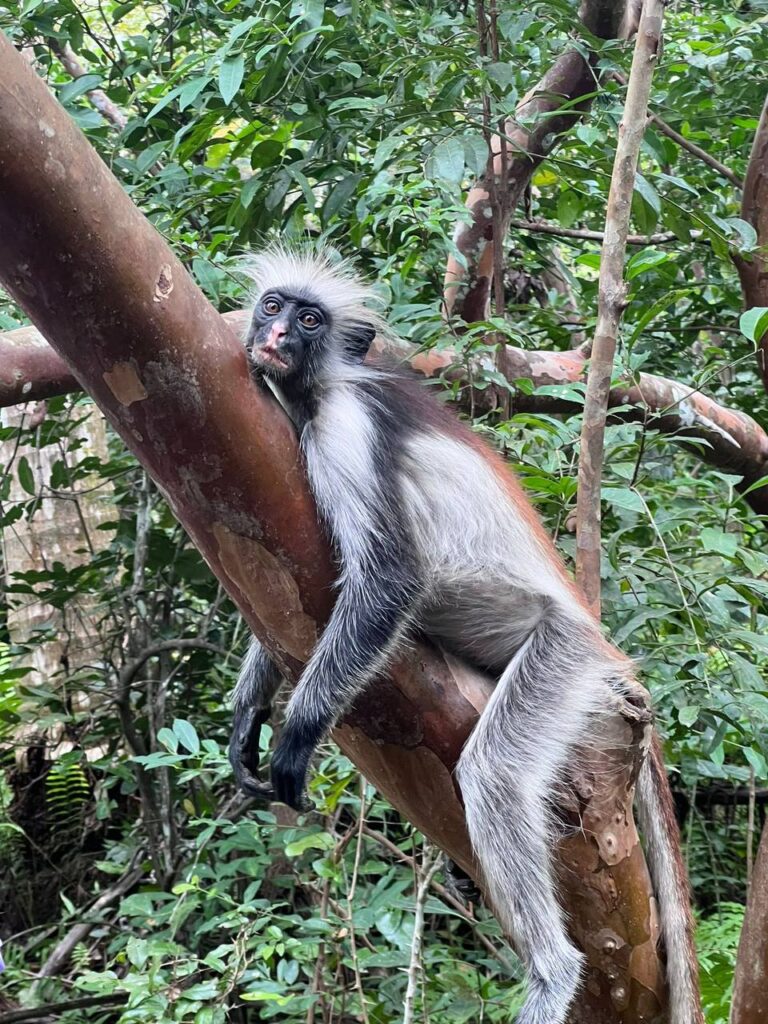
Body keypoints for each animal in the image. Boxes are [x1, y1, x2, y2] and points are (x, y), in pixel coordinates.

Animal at [228, 247, 701, 1024]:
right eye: (273, 306)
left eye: (310, 320)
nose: (276, 336)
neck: (320, 389)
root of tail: (603, 646)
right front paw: (248, 711)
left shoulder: (347, 426)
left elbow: (389, 579)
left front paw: (296, 733)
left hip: (560, 655)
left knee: (494, 775)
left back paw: (553, 974)